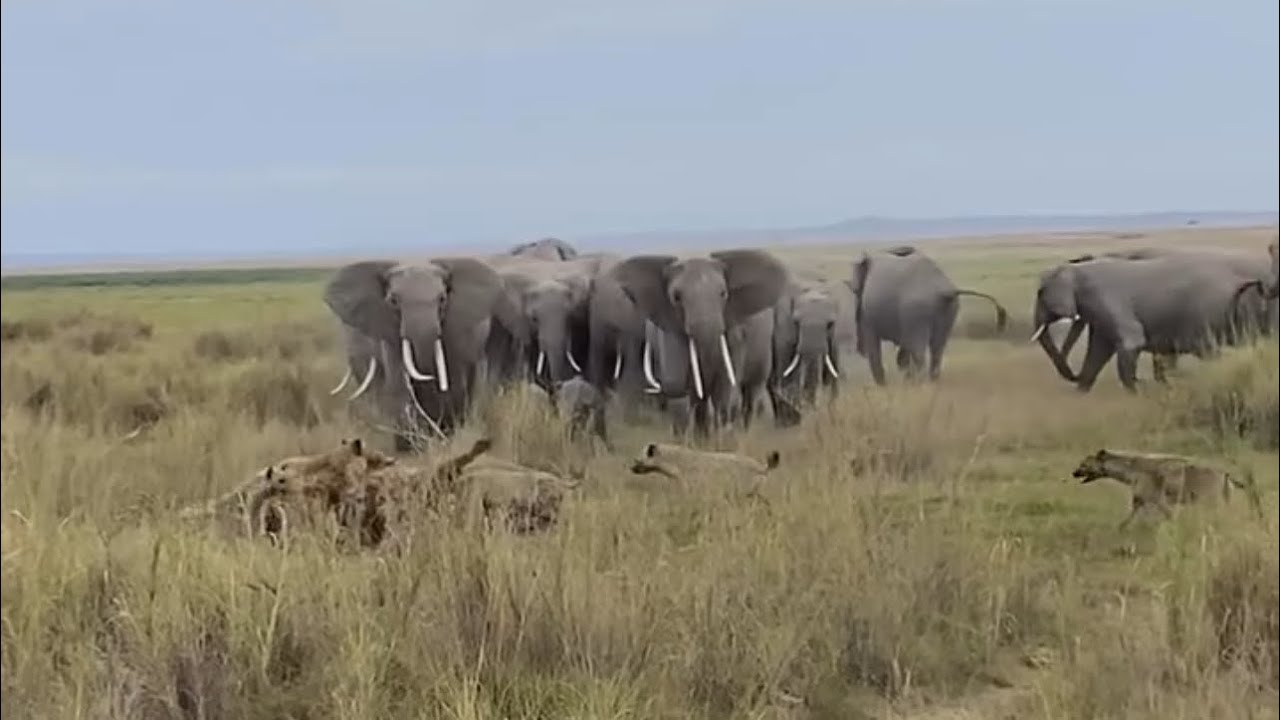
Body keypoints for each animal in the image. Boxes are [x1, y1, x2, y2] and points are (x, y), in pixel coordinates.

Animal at [323, 257, 516, 449]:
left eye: (442, 299)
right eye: (393, 301)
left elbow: (453, 386)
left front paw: (444, 438)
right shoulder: (390, 337)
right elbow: (399, 388)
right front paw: (413, 446)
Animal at [612, 249, 788, 434]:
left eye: (723, 294)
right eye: (676, 297)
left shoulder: (734, 337)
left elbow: (724, 390)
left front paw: (722, 439)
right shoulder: (671, 333)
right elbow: (680, 392)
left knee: (752, 390)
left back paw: (744, 431)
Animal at [848, 246, 1008, 385]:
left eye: (854, 291)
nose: (859, 350)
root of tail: (944, 289)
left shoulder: (869, 314)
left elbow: (875, 347)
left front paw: (885, 387)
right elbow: (903, 351)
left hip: (916, 310)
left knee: (919, 353)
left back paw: (921, 385)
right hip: (948, 310)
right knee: (937, 350)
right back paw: (931, 383)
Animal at [1030, 253, 1271, 393]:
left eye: (1040, 294)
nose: (1073, 375)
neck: (1077, 269)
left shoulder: (1108, 300)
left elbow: (1131, 342)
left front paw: (1136, 393)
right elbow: (1098, 351)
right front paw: (1081, 394)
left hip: (1207, 313)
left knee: (1210, 352)